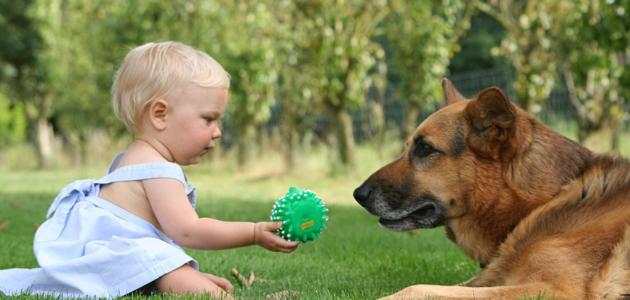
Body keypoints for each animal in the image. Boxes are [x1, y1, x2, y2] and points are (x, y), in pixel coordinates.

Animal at [356, 79, 630, 300]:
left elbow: (417, 288)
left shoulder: (553, 290)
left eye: (425, 148)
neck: (544, 202)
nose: (358, 195)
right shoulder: (489, 279)